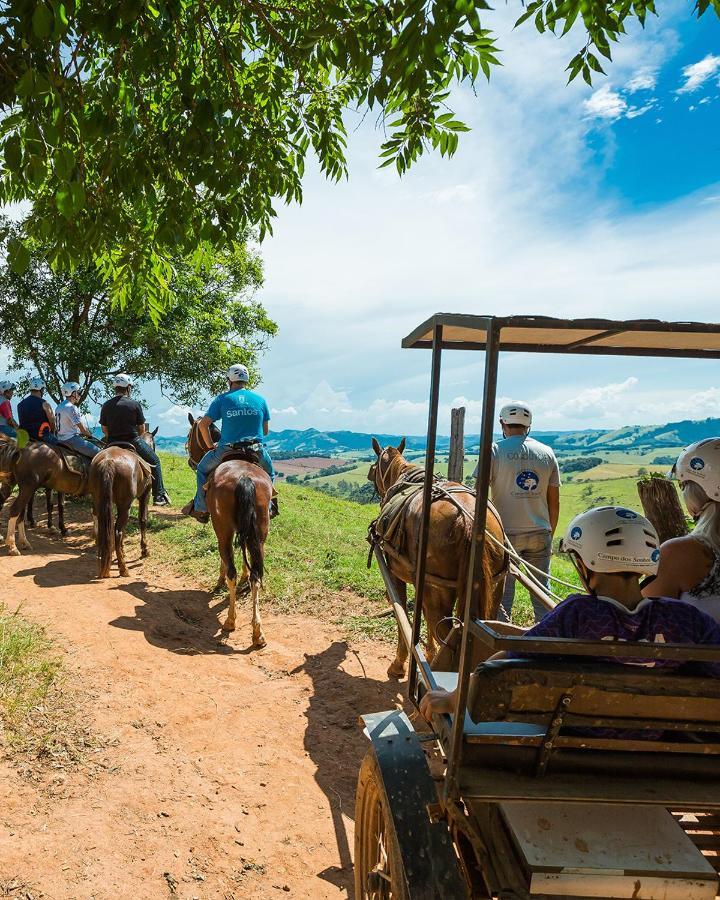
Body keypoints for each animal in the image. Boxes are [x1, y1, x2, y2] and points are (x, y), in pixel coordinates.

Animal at [89, 428, 159, 576]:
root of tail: (108, 461)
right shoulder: (145, 494)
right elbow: (143, 520)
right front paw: (144, 549)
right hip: (125, 505)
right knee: (117, 532)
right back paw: (123, 568)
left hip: (99, 499)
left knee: (106, 528)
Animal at [187, 414, 272, 648]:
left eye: (189, 436)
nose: (190, 461)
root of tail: (244, 478)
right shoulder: (246, 529)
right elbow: (244, 555)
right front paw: (244, 575)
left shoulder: (223, 529)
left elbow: (225, 559)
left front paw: (219, 580)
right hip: (260, 532)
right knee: (257, 574)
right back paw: (257, 632)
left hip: (223, 529)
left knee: (230, 569)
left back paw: (230, 621)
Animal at [372, 436, 506, 676]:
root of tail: (468, 519)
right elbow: (421, 613)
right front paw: (428, 653)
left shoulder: (398, 575)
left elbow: (402, 610)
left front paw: (399, 663)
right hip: (495, 586)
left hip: (438, 589)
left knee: (445, 631)